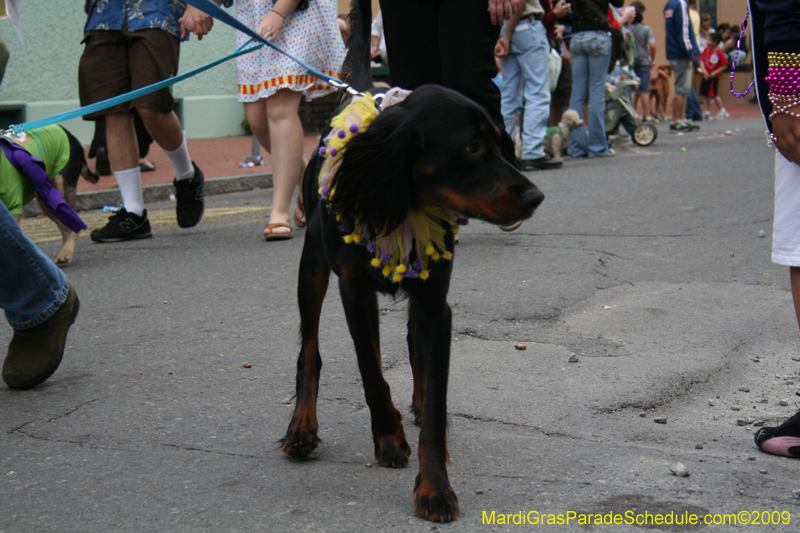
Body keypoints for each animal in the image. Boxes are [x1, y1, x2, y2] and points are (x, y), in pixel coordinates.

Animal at [278, 1, 548, 524]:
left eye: (501, 140)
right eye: (471, 146)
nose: (534, 197)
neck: (402, 201)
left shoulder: (435, 302)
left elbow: (436, 396)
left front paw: (434, 487)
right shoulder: (354, 291)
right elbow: (370, 371)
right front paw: (389, 439)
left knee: (409, 344)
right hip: (311, 268)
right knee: (310, 349)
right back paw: (301, 426)